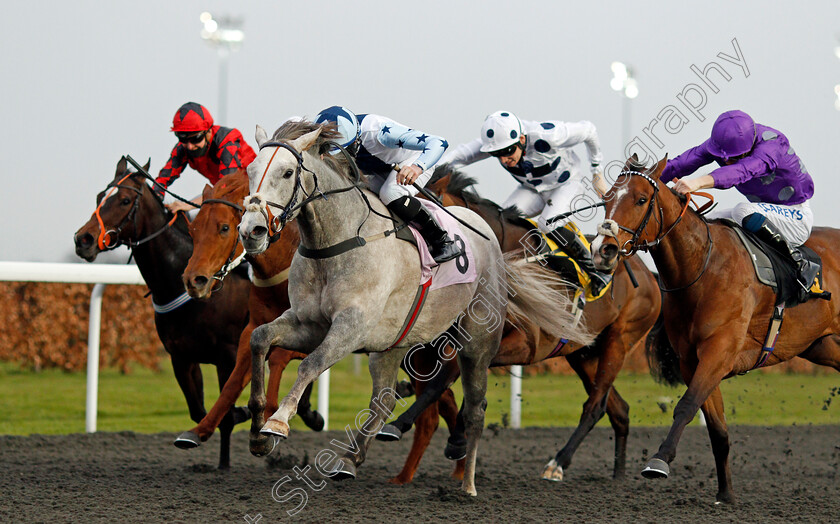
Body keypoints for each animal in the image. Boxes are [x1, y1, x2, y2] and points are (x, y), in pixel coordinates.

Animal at [72, 157, 251, 470]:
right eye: (99, 197)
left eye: (125, 200)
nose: (83, 239)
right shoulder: (181, 357)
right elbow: (200, 410)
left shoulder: (227, 355)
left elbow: (227, 409)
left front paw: (227, 457)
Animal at [175, 169, 328, 450]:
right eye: (193, 229)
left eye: (225, 228)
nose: (194, 280)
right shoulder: (253, 327)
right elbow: (233, 381)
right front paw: (199, 430)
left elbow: (279, 358)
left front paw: (269, 417)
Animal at [233, 119, 592, 496]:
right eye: (251, 170)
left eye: (287, 172)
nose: (252, 230)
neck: (335, 243)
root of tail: (489, 236)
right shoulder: (307, 323)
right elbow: (260, 339)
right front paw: (257, 429)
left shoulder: (350, 328)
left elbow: (310, 365)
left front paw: (276, 423)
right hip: (392, 344)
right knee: (384, 399)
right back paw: (349, 460)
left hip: (476, 344)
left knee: (475, 410)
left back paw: (468, 484)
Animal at [378, 168, 664, 484]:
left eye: (419, 214)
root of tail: (646, 273)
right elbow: (450, 378)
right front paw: (448, 434)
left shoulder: (526, 343)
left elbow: (448, 377)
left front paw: (421, 430)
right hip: (583, 354)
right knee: (619, 409)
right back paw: (618, 474)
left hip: (619, 341)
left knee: (595, 405)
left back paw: (558, 463)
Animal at [592, 156, 840, 504]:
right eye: (606, 199)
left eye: (641, 199)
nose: (603, 249)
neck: (703, 266)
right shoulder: (692, 360)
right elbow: (717, 430)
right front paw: (726, 494)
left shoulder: (719, 351)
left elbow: (686, 406)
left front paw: (659, 460)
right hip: (822, 345)